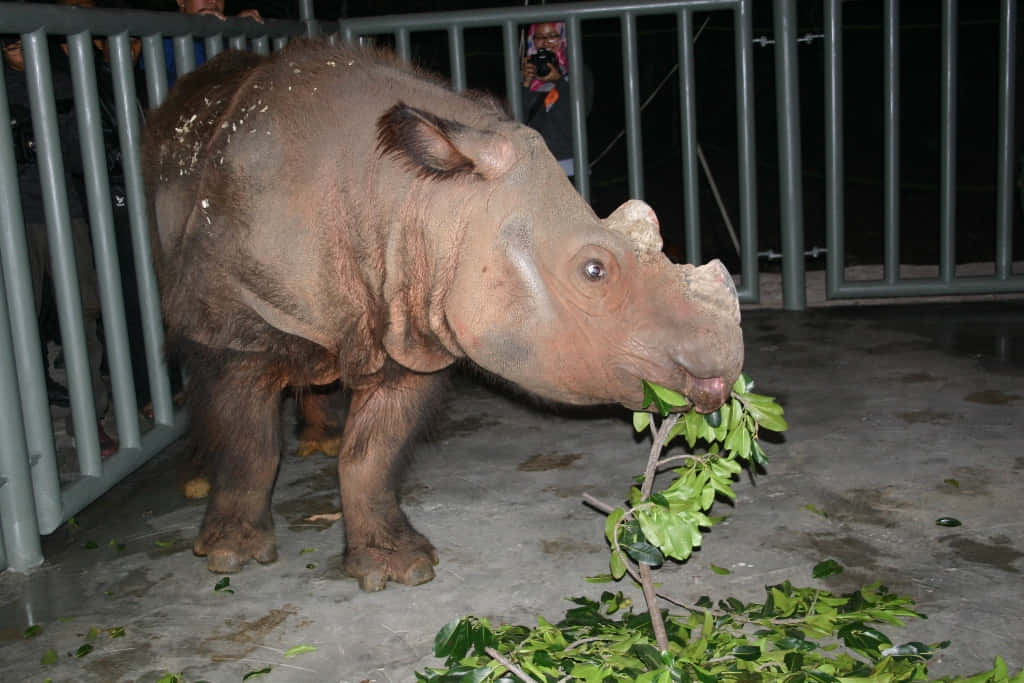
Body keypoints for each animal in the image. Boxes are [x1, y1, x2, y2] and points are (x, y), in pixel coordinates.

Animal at [142, 40, 743, 591]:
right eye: (594, 271)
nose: (725, 371)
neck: (421, 200)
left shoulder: (413, 326)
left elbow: (371, 455)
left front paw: (397, 567)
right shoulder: (242, 322)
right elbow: (251, 444)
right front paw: (232, 556)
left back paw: (321, 440)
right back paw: (201, 480)